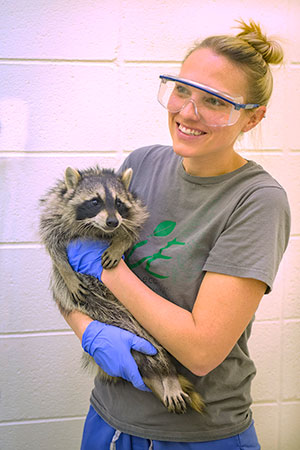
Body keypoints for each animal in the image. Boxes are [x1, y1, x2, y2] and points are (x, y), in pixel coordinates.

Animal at [39, 166, 204, 414]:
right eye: (95, 201)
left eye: (118, 203)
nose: (112, 222)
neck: (94, 229)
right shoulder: (55, 210)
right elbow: (53, 244)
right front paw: (66, 271)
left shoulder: (133, 210)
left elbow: (133, 226)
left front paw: (120, 242)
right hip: (99, 308)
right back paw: (155, 378)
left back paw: (168, 374)